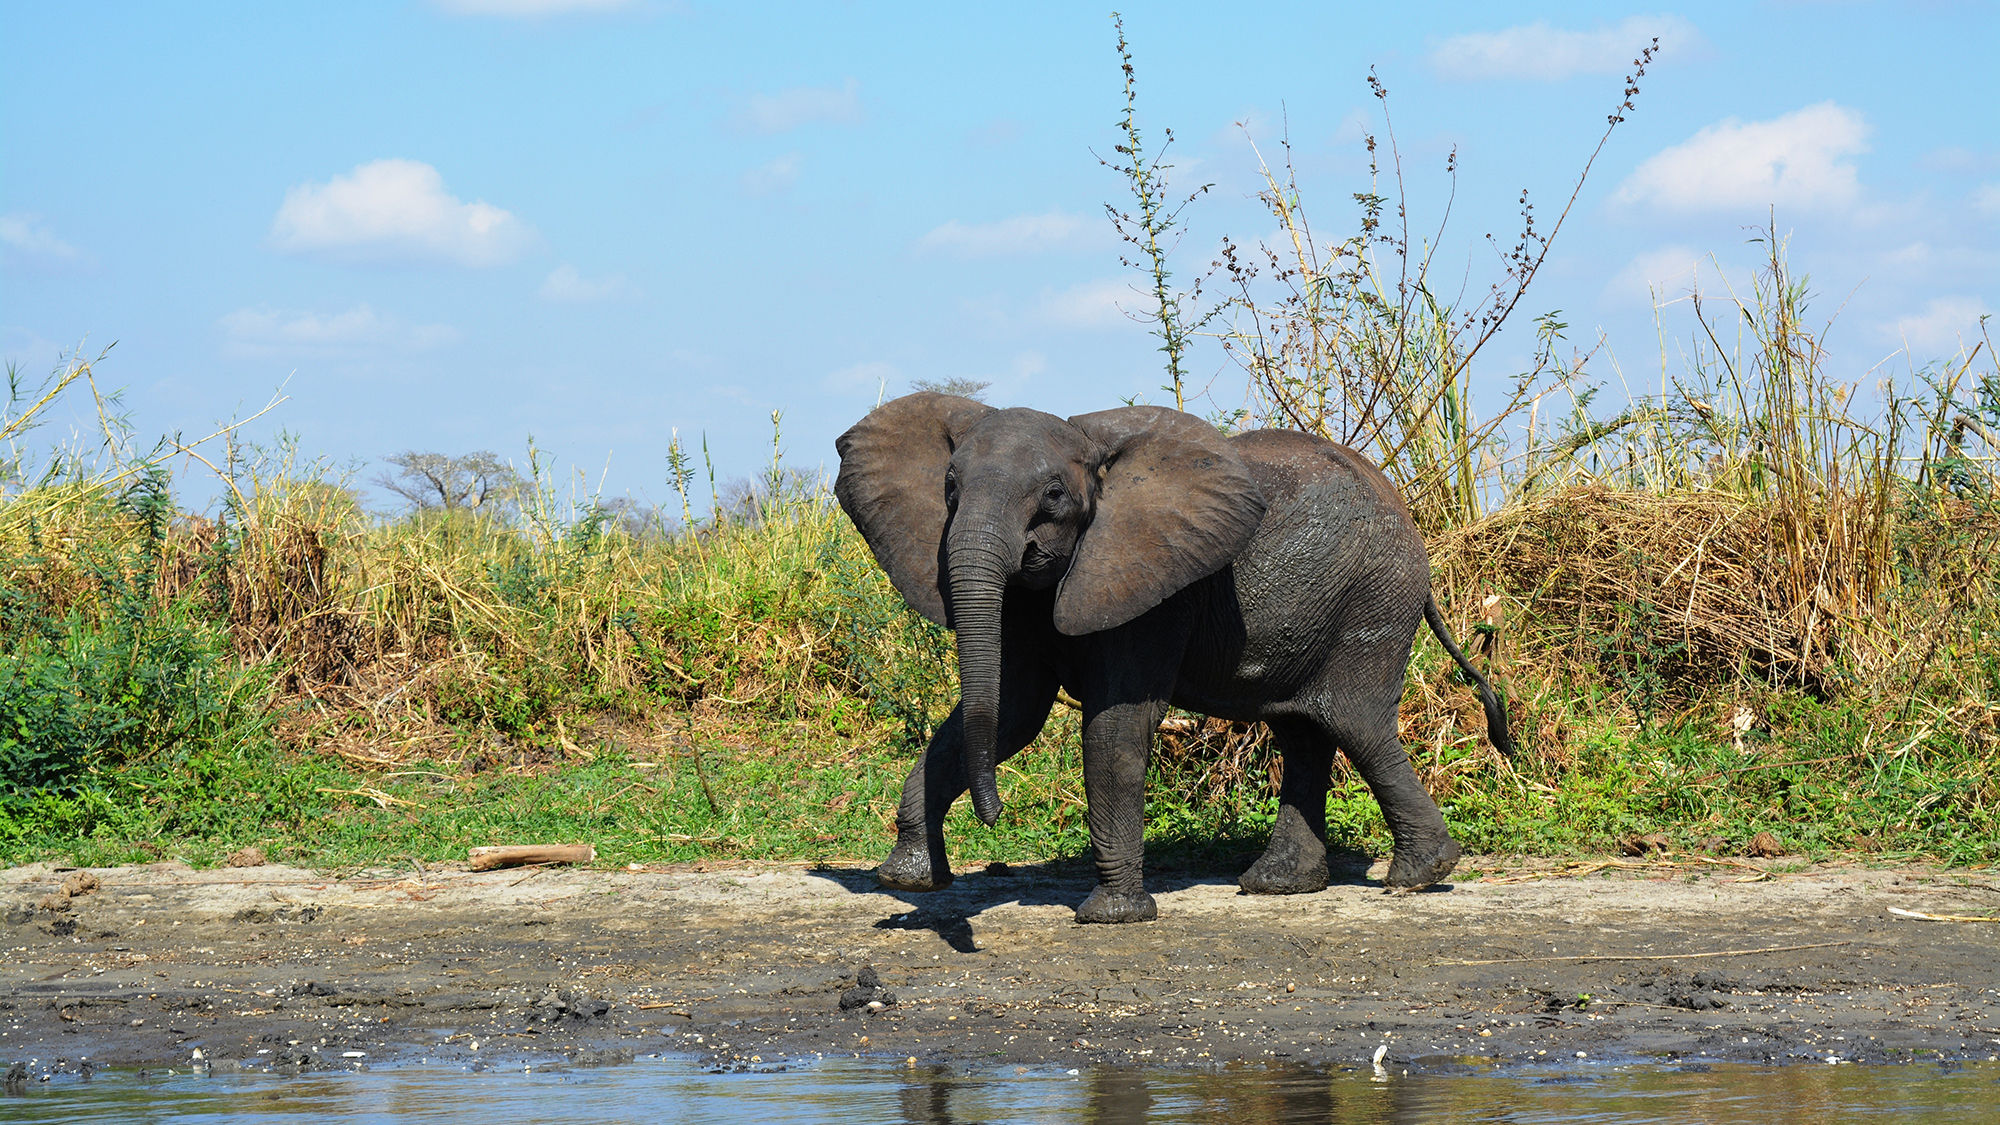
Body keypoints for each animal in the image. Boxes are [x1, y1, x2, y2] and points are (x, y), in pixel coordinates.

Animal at [833, 392, 1512, 924]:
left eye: (1052, 495)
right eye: (948, 488)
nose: (994, 818)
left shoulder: (1154, 588)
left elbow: (1116, 726)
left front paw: (1112, 916)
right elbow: (1012, 713)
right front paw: (908, 880)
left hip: (1374, 595)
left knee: (1354, 719)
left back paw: (1418, 876)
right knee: (1303, 729)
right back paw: (1279, 885)